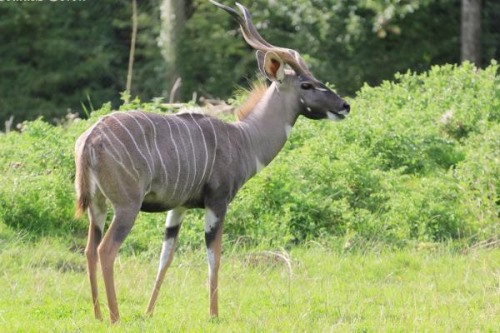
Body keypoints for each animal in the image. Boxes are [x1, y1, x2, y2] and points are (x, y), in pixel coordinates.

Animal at [75, 0, 348, 322]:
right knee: (106, 250)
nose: (344, 105)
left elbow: (166, 257)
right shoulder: (218, 202)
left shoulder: (178, 207)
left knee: (89, 250)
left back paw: (98, 315)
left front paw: (148, 312)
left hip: (98, 207)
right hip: (126, 206)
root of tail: (90, 139)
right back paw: (115, 317)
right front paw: (214, 314)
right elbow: (214, 257)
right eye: (306, 85)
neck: (243, 138)